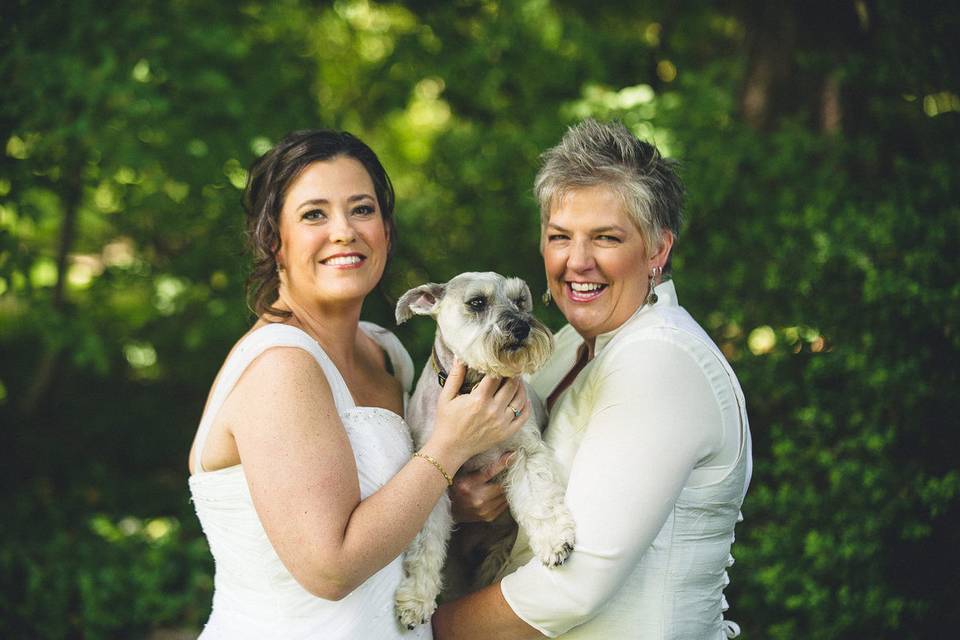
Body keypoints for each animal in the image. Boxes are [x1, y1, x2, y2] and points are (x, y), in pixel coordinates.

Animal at [392, 272, 572, 632]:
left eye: (520, 301)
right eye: (477, 302)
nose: (521, 327)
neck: (473, 387)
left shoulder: (525, 453)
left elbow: (540, 500)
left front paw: (554, 541)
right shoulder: (431, 484)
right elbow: (424, 545)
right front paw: (416, 599)